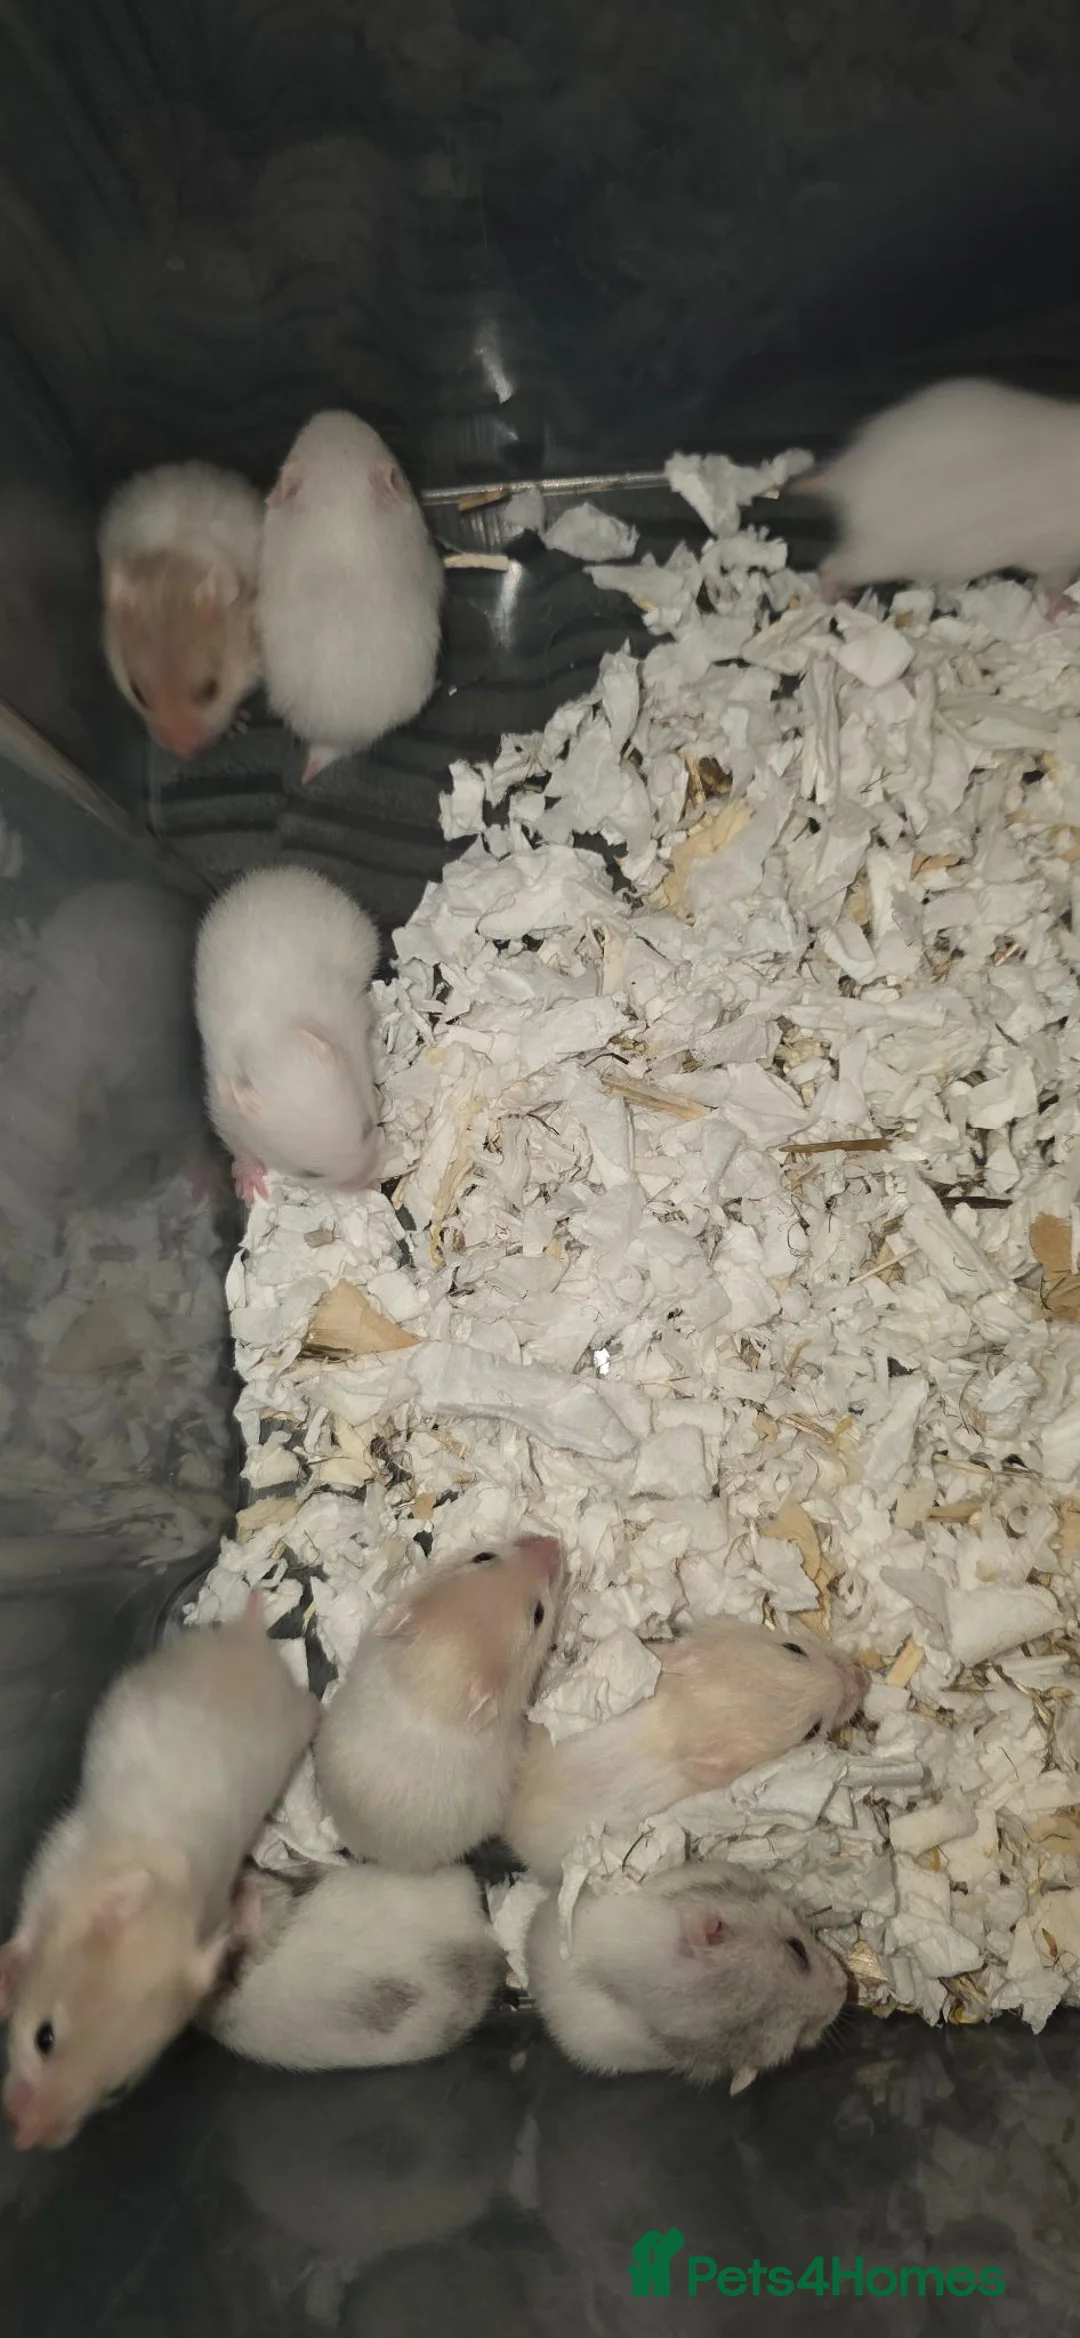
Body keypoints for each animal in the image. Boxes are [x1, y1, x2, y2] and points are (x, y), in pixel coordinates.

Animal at [0, 1601, 317, 2149]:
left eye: (115, 2092)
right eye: (44, 2038)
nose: (22, 2139)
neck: (175, 1893)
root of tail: (251, 1641)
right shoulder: (52, 1867)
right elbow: (25, 1933)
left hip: (290, 1724)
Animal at [194, 864, 381, 1203]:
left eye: (368, 1126)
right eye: (310, 1173)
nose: (370, 1180)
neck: (272, 1039)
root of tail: (276, 871)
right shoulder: (222, 1099)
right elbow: (237, 1140)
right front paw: (249, 1185)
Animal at [813, 379, 1080, 606]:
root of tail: (845, 472)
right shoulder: (1055, 554)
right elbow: (1052, 585)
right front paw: (1065, 606)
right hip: (884, 552)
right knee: (831, 565)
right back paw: (835, 596)